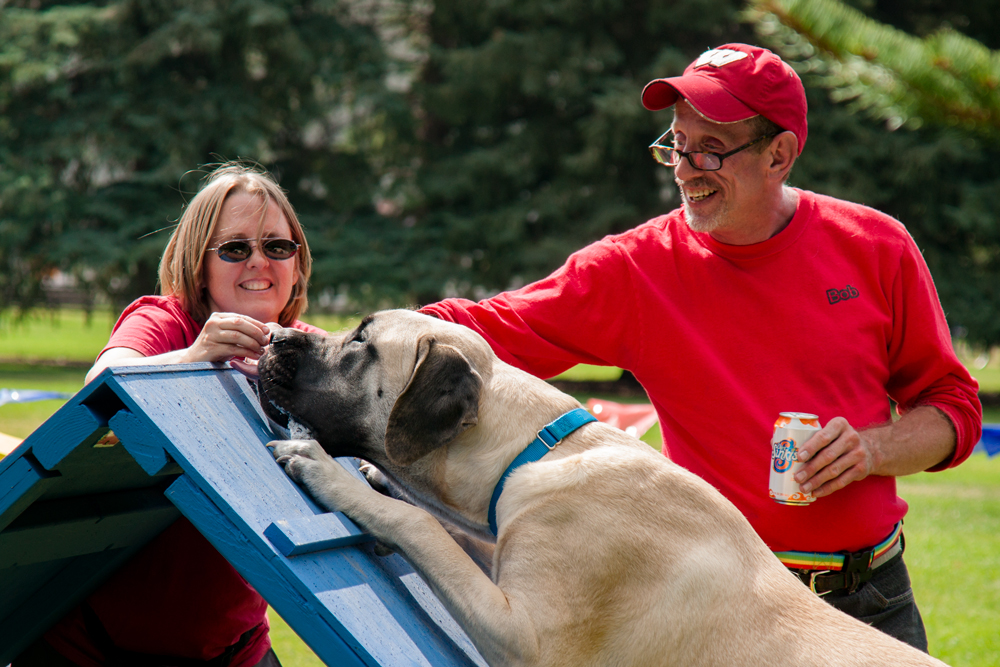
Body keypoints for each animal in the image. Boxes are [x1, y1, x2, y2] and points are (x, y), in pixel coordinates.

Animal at [258, 310, 944, 664]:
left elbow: (426, 526)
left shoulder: (526, 636)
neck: (531, 451)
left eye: (360, 342)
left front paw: (333, 475)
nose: (274, 335)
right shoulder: (505, 551)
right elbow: (454, 530)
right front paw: (378, 481)